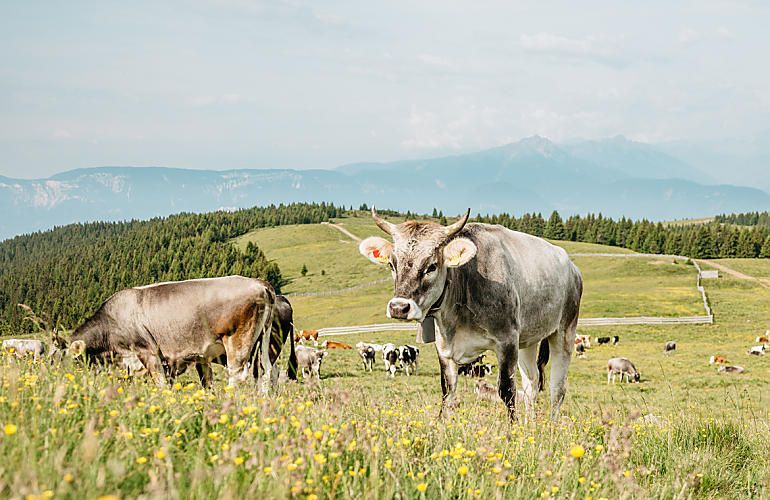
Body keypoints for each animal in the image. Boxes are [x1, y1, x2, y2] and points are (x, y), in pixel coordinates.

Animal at [360, 207, 584, 422]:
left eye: (431, 266)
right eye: (391, 264)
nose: (399, 307)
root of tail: (572, 267)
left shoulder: (507, 341)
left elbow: (507, 390)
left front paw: (513, 429)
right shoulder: (444, 349)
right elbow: (447, 391)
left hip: (564, 330)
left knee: (557, 387)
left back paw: (551, 426)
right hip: (528, 340)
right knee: (532, 383)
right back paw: (531, 426)